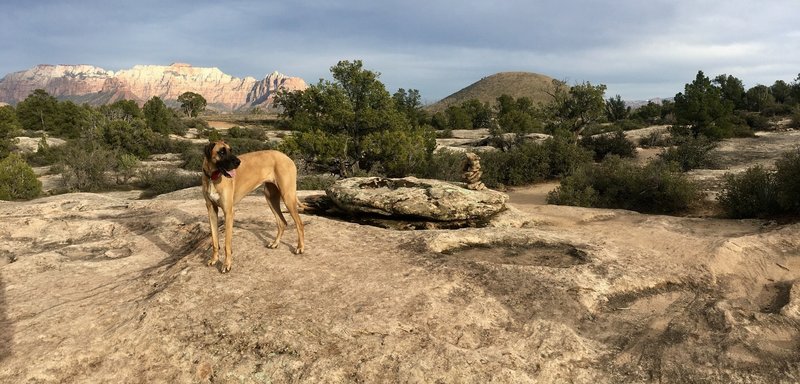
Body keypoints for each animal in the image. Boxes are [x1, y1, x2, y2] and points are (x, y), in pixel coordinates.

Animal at [203, 140, 306, 272]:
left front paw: (226, 264)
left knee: (299, 223)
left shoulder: (229, 212)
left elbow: (227, 243)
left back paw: (300, 247)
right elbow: (214, 240)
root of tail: (287, 157)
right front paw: (214, 259)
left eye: (230, 150)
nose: (238, 162)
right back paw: (275, 243)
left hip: (287, 197)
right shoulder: (211, 210)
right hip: (270, 198)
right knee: (282, 222)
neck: (213, 177)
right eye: (221, 152)